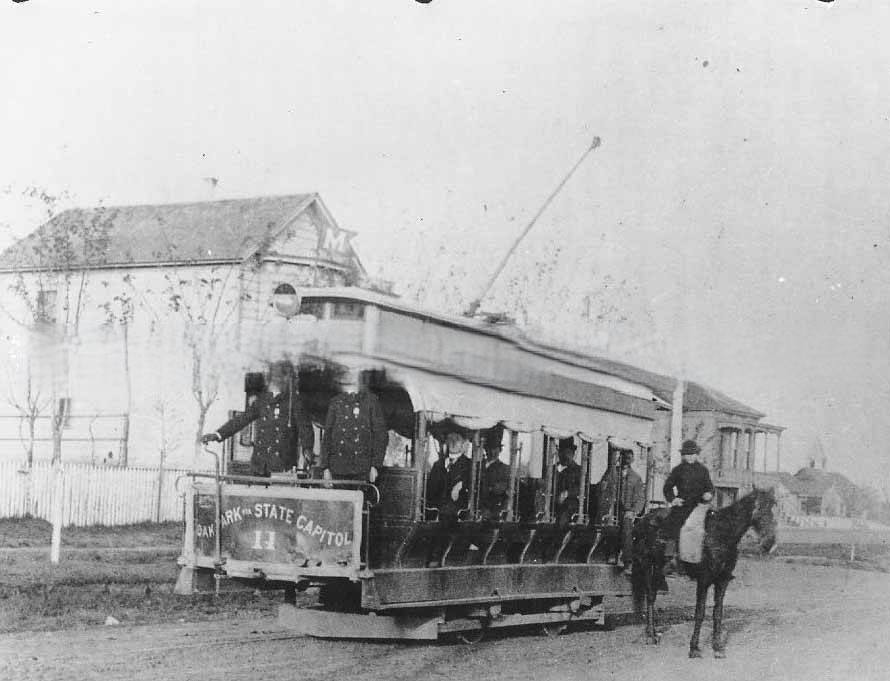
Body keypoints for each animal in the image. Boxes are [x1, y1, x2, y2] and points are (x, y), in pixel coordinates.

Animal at [628, 486, 772, 656]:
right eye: (760, 509)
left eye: (773, 509)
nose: (769, 543)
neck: (720, 533)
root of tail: (642, 520)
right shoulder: (704, 580)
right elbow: (700, 613)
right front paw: (694, 648)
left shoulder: (722, 581)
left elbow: (718, 613)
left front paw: (717, 646)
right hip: (646, 564)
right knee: (650, 597)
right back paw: (650, 635)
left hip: (658, 568)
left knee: (652, 596)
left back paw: (652, 633)